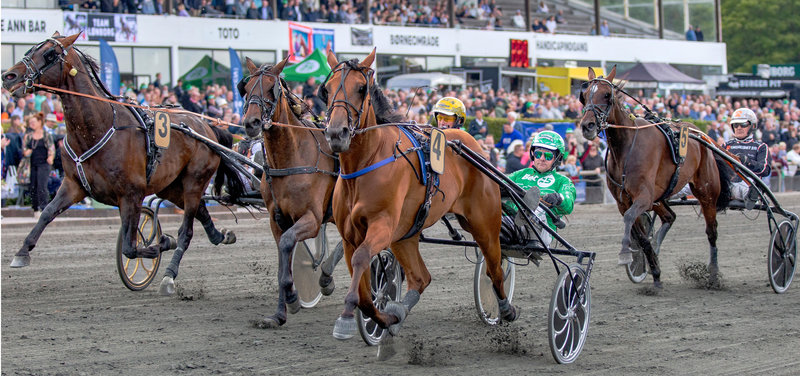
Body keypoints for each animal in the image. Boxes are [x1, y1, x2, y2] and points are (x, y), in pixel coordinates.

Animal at [1, 31, 242, 294]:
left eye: (50, 54)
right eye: (29, 50)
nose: (8, 76)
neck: (98, 127)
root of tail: (207, 128)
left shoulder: (131, 193)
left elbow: (131, 246)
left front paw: (163, 242)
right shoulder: (74, 185)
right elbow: (46, 213)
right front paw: (22, 252)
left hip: (194, 181)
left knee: (186, 231)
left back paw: (169, 275)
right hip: (170, 186)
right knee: (200, 210)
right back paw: (221, 235)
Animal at [238, 55, 338, 326]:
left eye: (271, 88)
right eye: (246, 88)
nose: (251, 123)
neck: (291, 157)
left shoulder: (312, 219)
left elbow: (287, 244)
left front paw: (294, 296)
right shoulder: (277, 220)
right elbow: (282, 256)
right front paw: (279, 313)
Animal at [318, 50, 520, 350]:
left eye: (361, 88)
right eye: (326, 89)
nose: (336, 133)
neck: (367, 162)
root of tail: (470, 142)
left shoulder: (382, 226)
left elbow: (362, 258)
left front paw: (346, 318)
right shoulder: (350, 235)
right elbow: (364, 289)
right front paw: (384, 317)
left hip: (484, 223)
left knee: (494, 267)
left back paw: (505, 309)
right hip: (406, 234)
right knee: (421, 277)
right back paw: (398, 313)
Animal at [576, 67, 732, 288]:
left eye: (607, 95)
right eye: (584, 95)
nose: (587, 126)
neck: (626, 147)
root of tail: (701, 134)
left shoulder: (643, 196)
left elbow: (630, 218)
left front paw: (626, 254)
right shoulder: (624, 202)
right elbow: (640, 235)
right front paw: (654, 271)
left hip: (706, 192)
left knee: (712, 231)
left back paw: (713, 274)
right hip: (660, 196)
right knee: (670, 216)